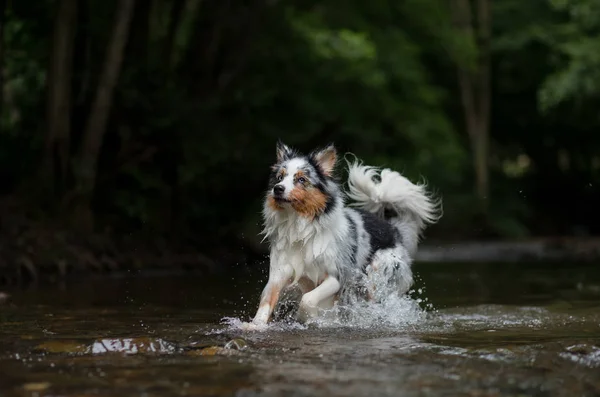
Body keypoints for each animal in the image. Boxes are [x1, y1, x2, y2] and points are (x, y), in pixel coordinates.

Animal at [240, 141, 440, 330]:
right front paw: (255, 325)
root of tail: (393, 228)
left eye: (301, 179)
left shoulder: (338, 274)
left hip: (376, 277)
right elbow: (266, 301)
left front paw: (310, 318)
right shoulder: (279, 273)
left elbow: (308, 299)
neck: (299, 226)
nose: (278, 189)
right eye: (280, 177)